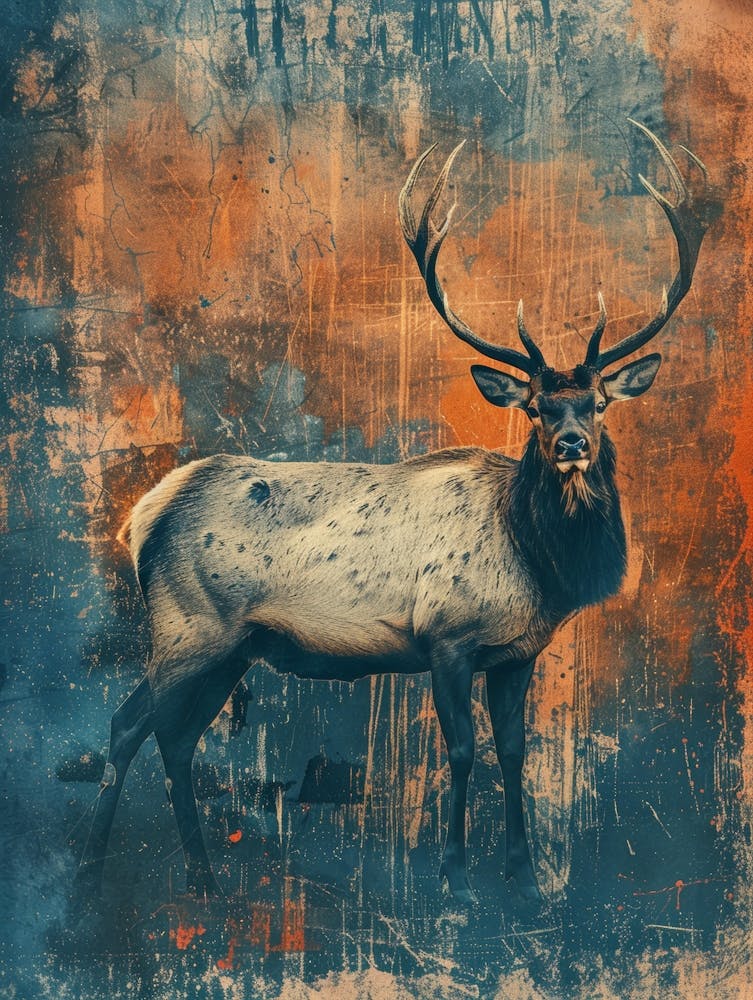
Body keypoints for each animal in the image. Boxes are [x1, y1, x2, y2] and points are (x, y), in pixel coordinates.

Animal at [77, 121, 716, 907]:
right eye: (537, 407)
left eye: (597, 402)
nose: (571, 444)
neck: (538, 565)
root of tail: (141, 515)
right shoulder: (445, 636)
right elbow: (463, 750)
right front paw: (454, 876)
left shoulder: (518, 653)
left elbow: (513, 752)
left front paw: (523, 873)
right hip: (187, 626)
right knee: (130, 725)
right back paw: (101, 868)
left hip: (232, 647)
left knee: (174, 737)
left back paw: (198, 877)